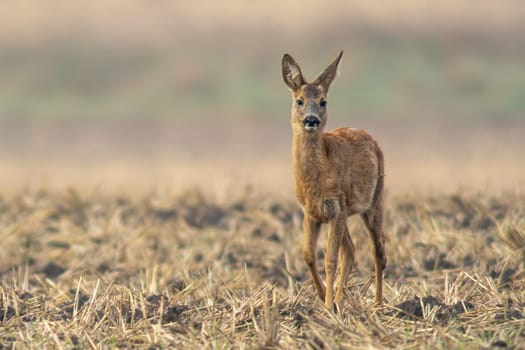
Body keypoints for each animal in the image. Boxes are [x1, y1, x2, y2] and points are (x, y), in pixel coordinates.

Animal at [280, 50, 386, 310]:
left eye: (323, 101)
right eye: (299, 100)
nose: (311, 120)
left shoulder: (335, 207)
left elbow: (329, 258)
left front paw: (327, 305)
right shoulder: (312, 211)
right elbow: (308, 254)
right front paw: (322, 295)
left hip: (373, 201)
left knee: (377, 250)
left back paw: (377, 304)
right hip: (346, 212)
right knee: (352, 251)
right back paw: (340, 299)